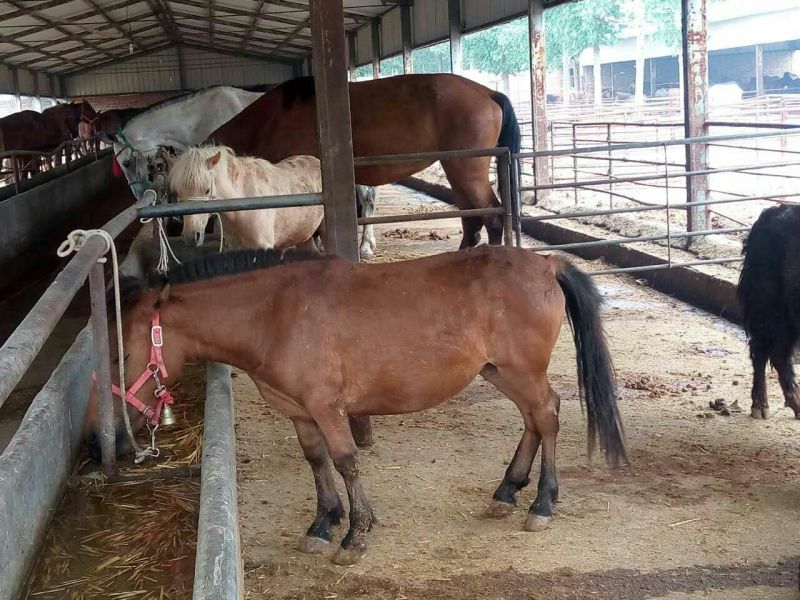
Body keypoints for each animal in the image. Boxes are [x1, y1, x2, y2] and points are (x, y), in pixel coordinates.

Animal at [84, 245, 627, 565]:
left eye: (118, 354)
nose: (94, 439)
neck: (274, 314)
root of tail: (545, 262)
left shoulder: (328, 407)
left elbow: (346, 461)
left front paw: (356, 534)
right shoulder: (300, 411)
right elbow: (317, 462)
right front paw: (324, 523)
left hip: (521, 372)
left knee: (548, 416)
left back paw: (542, 503)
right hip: (499, 371)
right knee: (532, 420)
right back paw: (507, 491)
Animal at [207, 74, 521, 249]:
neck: (272, 119)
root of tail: (487, 93)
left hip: (468, 170)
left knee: (493, 218)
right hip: (456, 168)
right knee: (472, 220)